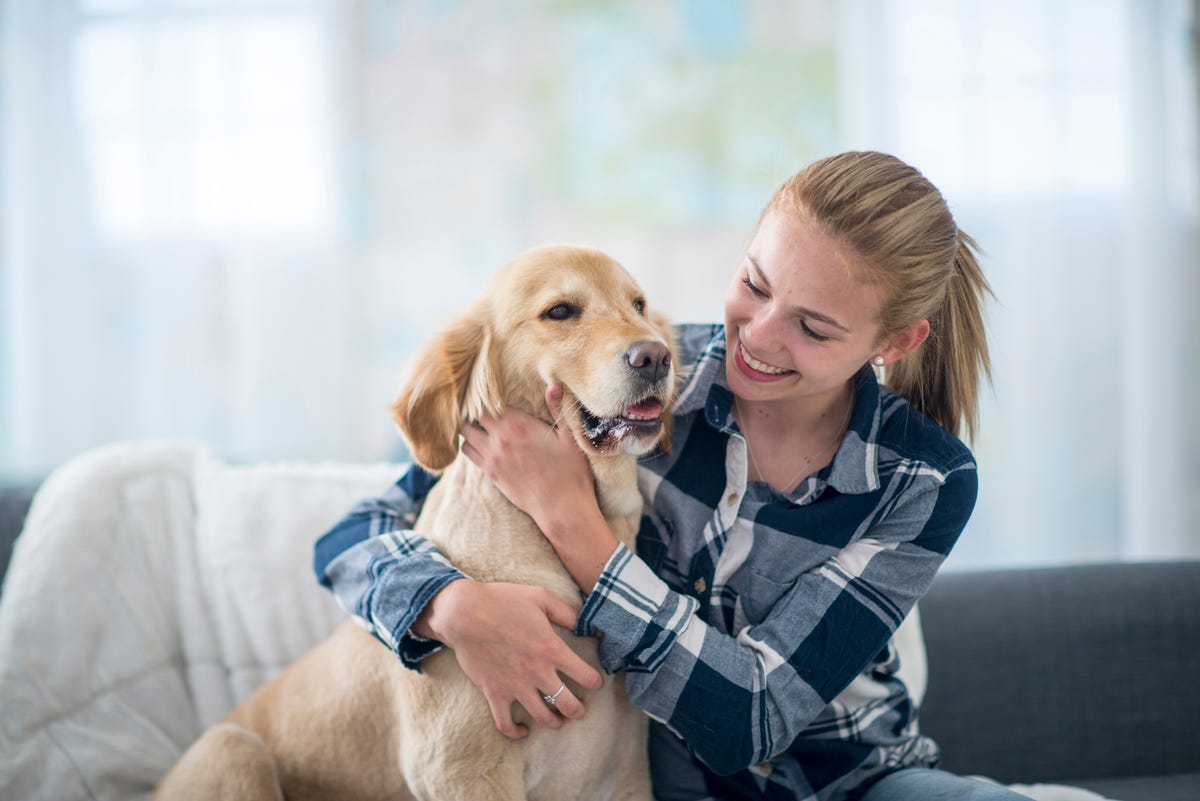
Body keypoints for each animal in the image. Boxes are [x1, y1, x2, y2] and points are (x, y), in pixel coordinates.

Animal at [153, 245, 672, 801]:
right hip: (233, 745)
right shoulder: (459, 771)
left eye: (638, 305)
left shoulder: (625, 778)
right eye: (560, 311)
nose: (656, 356)